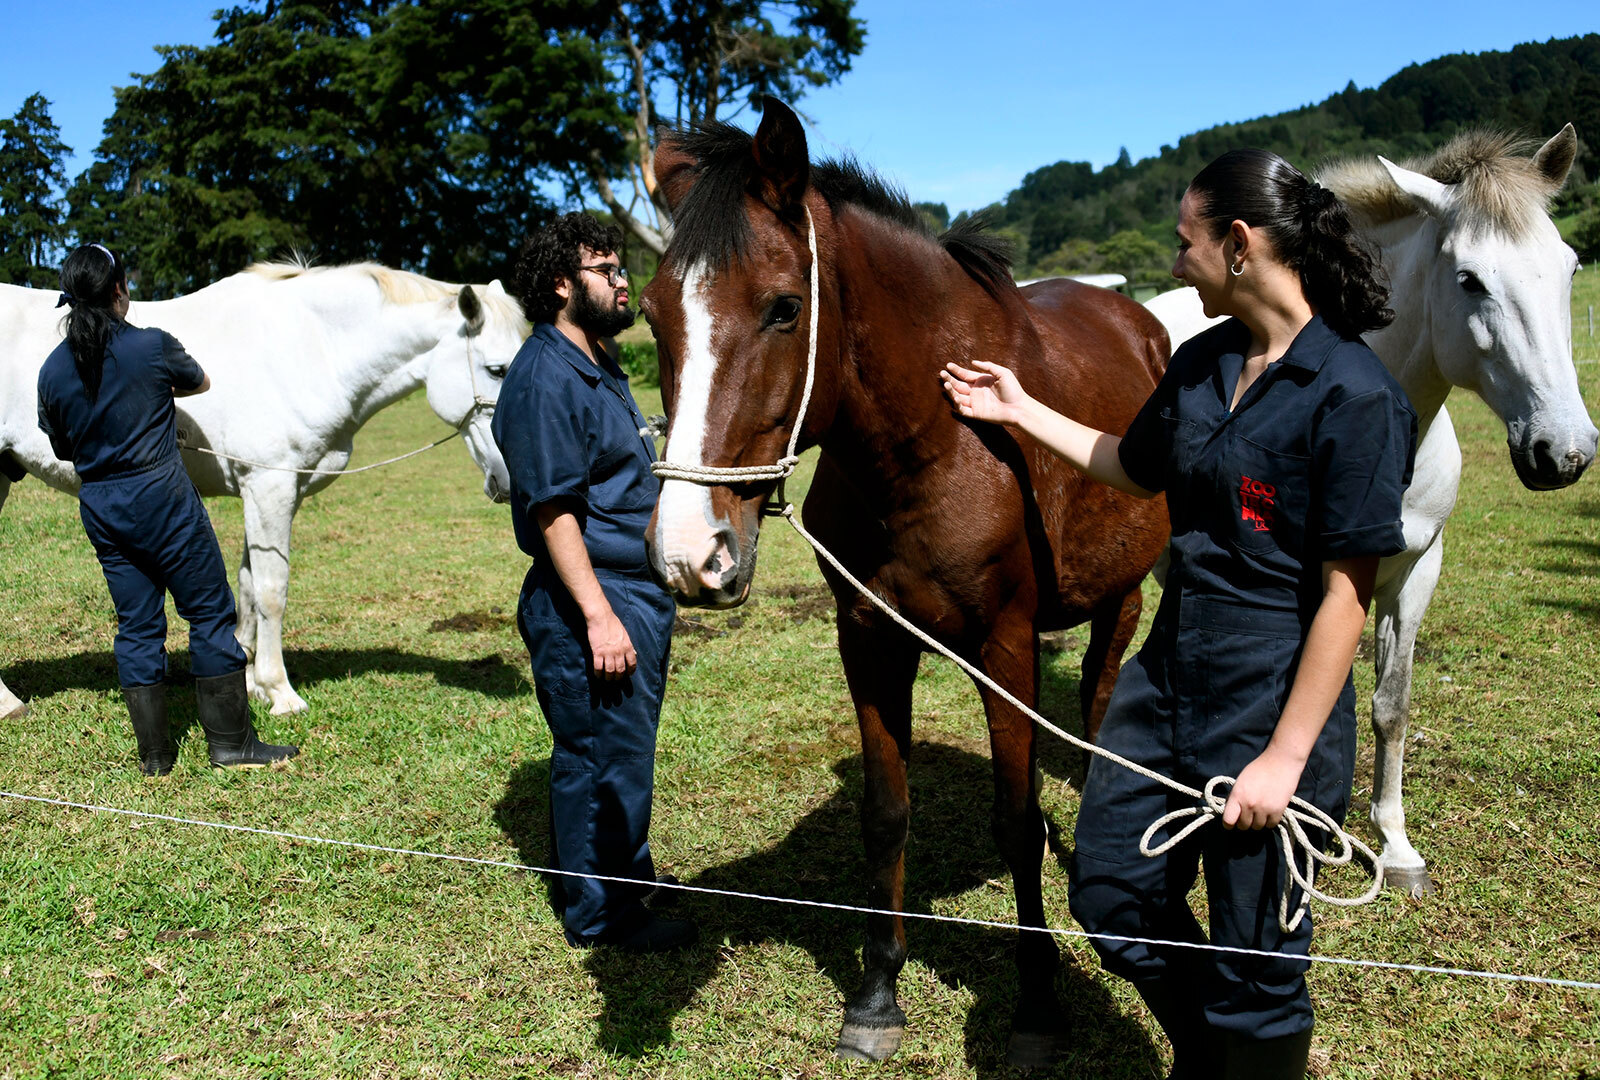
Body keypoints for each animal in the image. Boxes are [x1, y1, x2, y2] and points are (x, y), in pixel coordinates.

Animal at [0, 262, 524, 716]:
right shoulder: (270, 487)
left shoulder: (271, 495)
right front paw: (280, 692)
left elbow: (249, 586)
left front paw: (250, 681)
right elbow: (273, 590)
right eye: (497, 369)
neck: (314, 349)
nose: (509, 479)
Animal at [640, 101, 1177, 1062]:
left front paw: (1036, 1003)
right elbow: (887, 812)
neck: (939, 439)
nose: (690, 553)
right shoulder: (870, 637)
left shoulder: (1005, 646)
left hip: (1120, 597)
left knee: (1099, 704)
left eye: (784, 308)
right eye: (656, 318)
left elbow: (1017, 819)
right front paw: (878, 992)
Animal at [1145, 126, 1593, 889]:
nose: (1562, 451)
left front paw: (1396, 846)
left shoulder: (1417, 570)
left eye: (1568, 267)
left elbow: (1392, 705)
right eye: (1469, 280)